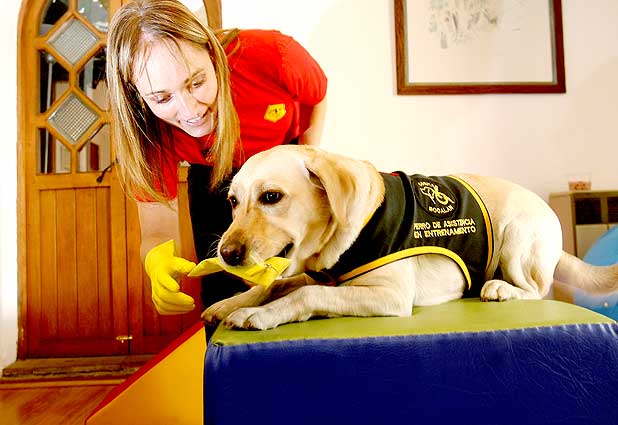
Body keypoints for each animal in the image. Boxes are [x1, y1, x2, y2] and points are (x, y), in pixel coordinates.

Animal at [202, 144, 616, 330]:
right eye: (233, 201)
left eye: (271, 197)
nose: (227, 253)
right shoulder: (319, 273)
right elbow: (275, 285)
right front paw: (232, 303)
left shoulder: (390, 294)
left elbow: (307, 294)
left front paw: (258, 314)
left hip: (517, 237)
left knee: (537, 289)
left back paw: (500, 288)